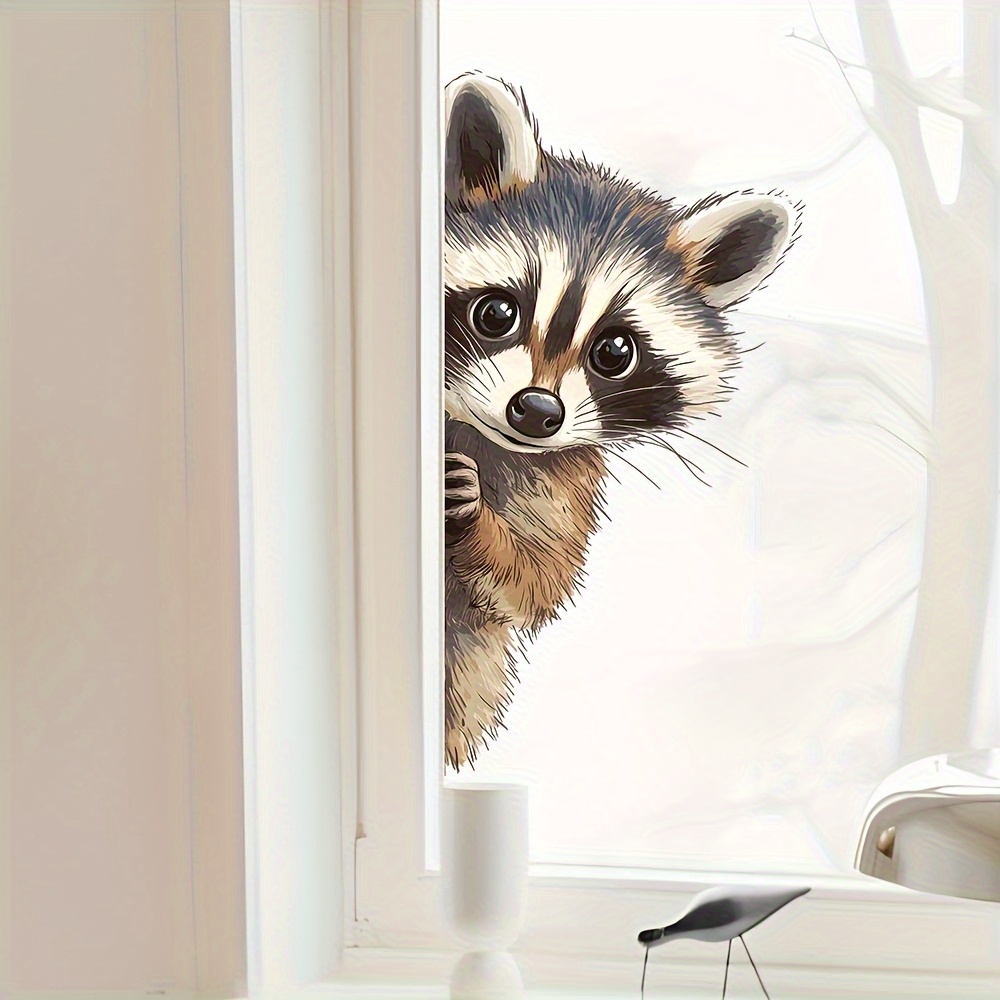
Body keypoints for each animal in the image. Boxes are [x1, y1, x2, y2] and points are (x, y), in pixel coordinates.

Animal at [443, 72, 799, 770]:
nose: (537, 411)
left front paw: (480, 525)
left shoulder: (563, 480)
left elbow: (532, 582)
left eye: (615, 352)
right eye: (497, 313)